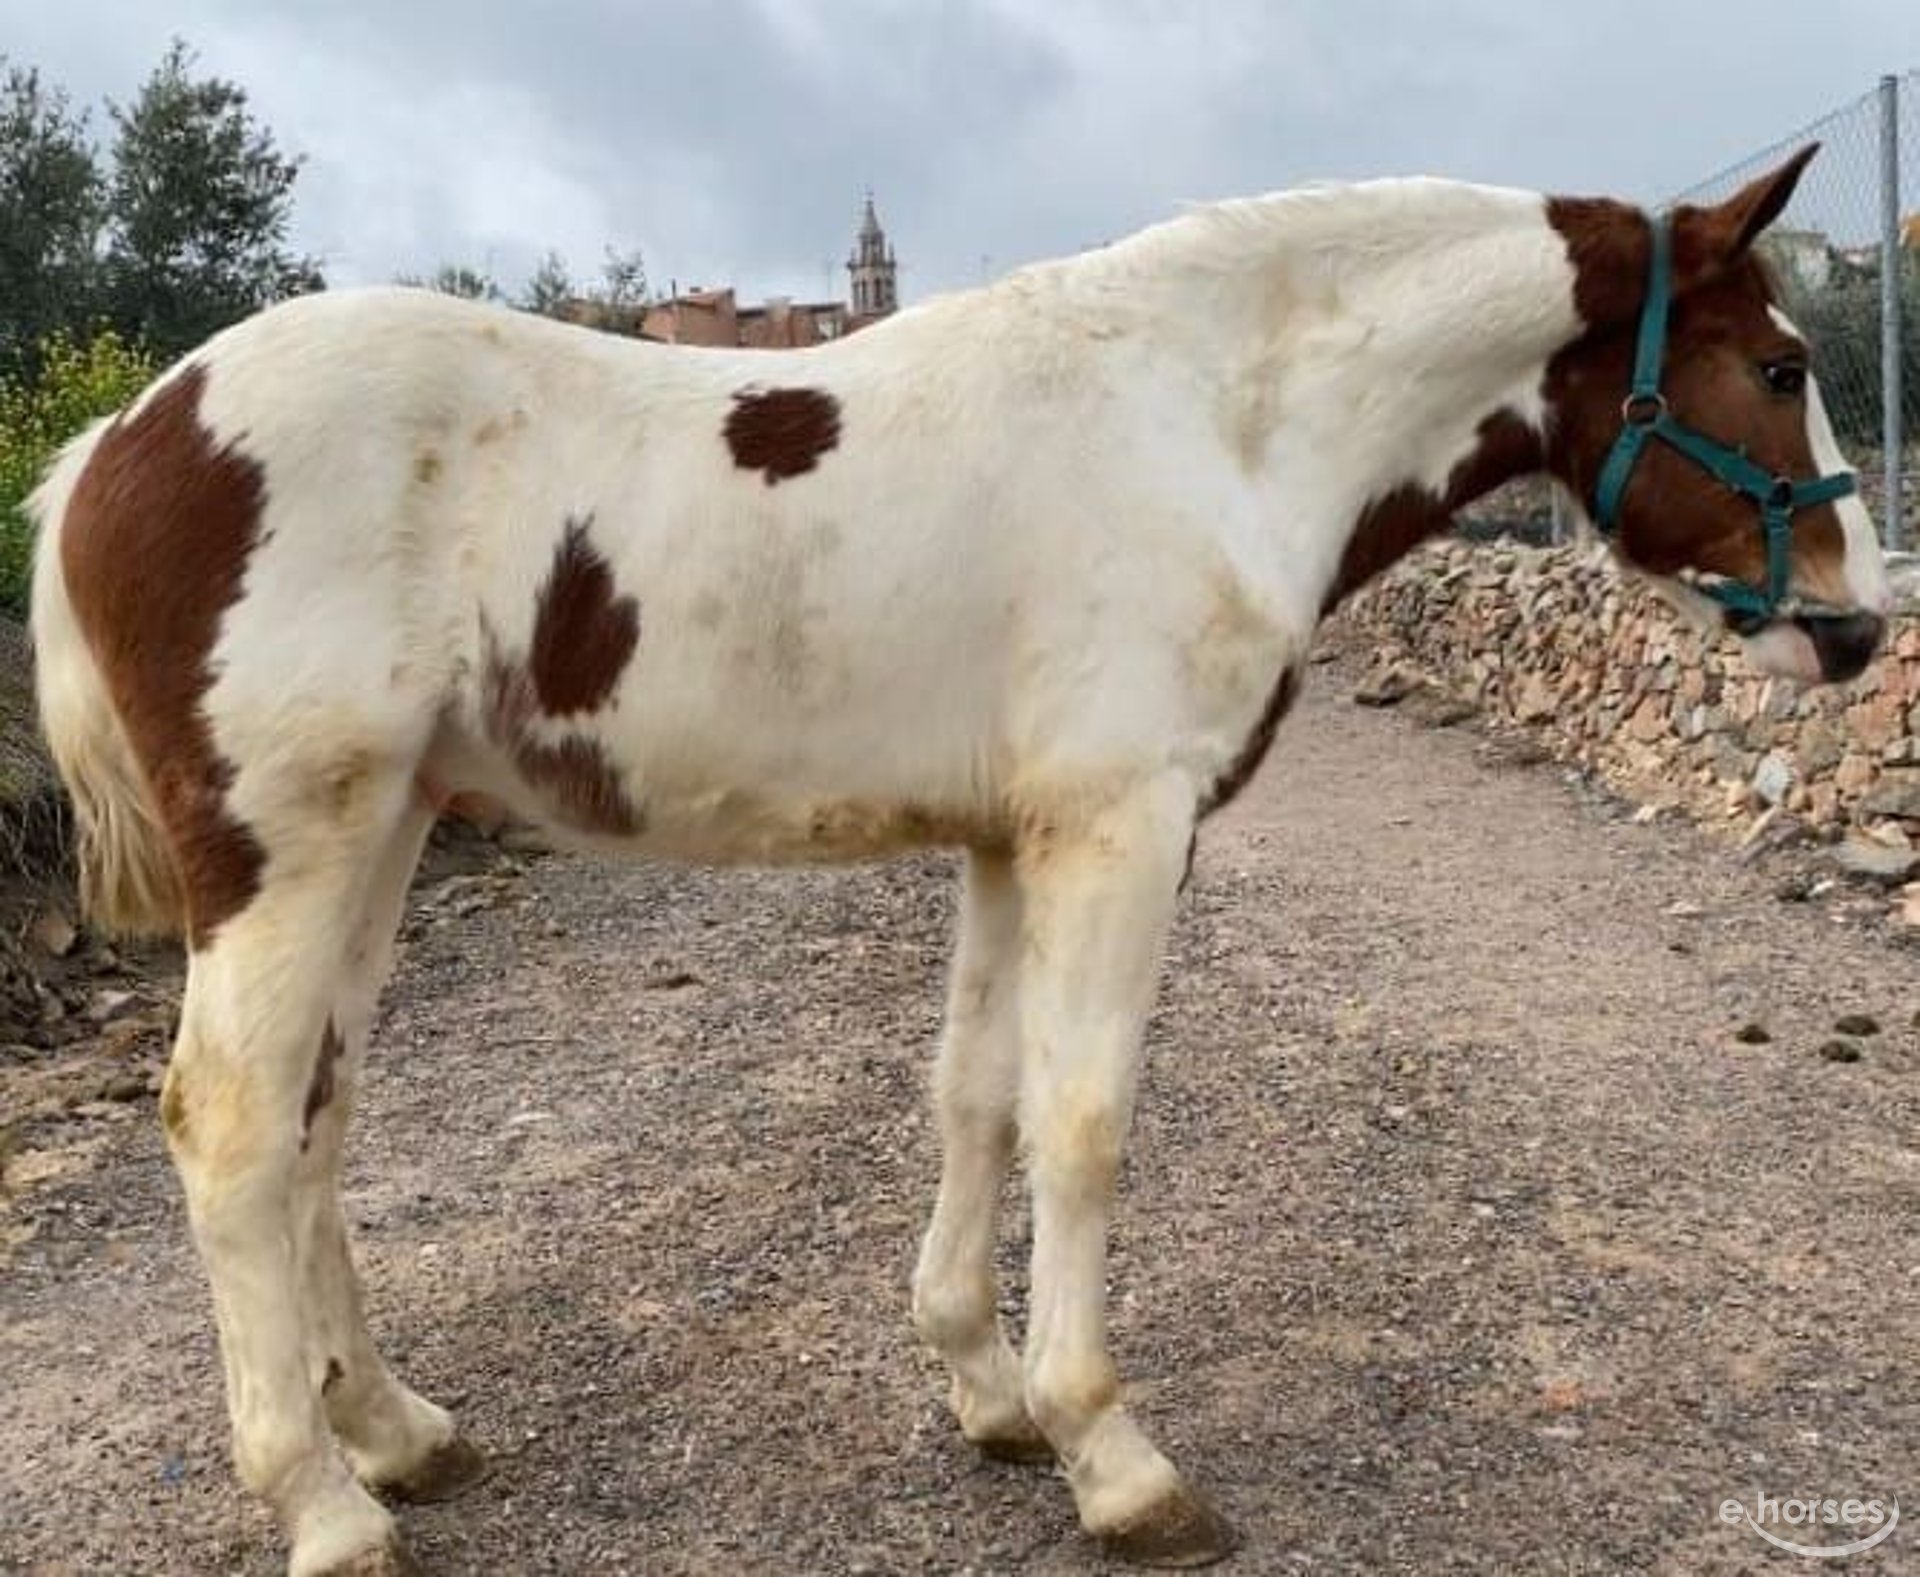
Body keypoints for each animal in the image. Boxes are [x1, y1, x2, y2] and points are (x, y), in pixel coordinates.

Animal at [30, 150, 1889, 1575]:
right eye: (1783, 367)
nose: (1862, 627)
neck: (1203, 419)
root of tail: (116, 440)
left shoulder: (1016, 837)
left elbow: (977, 1095)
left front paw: (986, 1392)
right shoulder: (1122, 827)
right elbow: (1084, 1119)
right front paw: (1112, 1456)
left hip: (386, 835)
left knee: (315, 1117)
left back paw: (397, 1431)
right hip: (287, 849)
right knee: (232, 1123)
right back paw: (325, 1504)